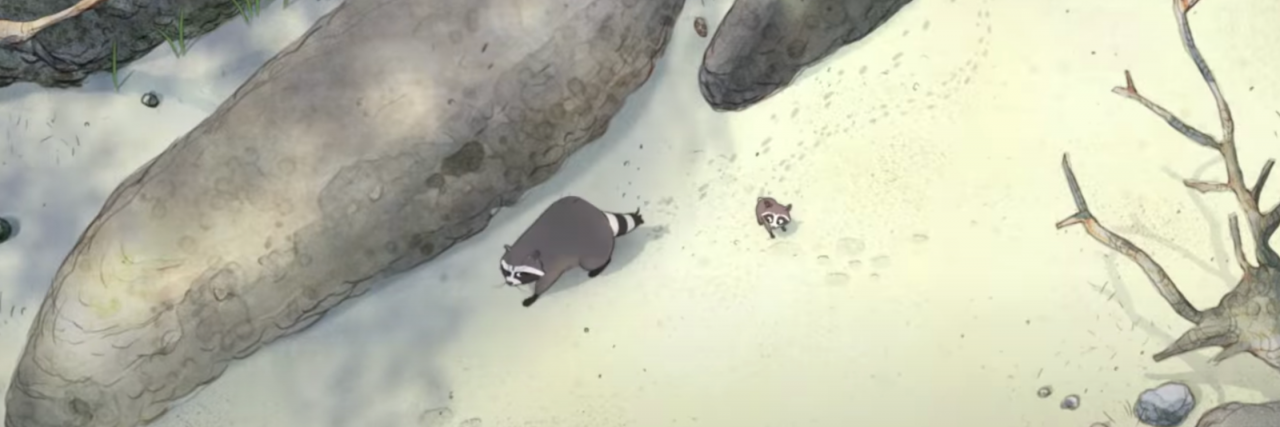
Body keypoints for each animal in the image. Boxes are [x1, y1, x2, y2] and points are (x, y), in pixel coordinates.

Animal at [500, 196, 645, 307]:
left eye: (520, 274)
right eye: (506, 271)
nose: (509, 283)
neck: (524, 246)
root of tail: (600, 215)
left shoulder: (551, 264)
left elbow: (546, 280)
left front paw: (535, 295)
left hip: (594, 243)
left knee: (593, 261)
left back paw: (601, 265)